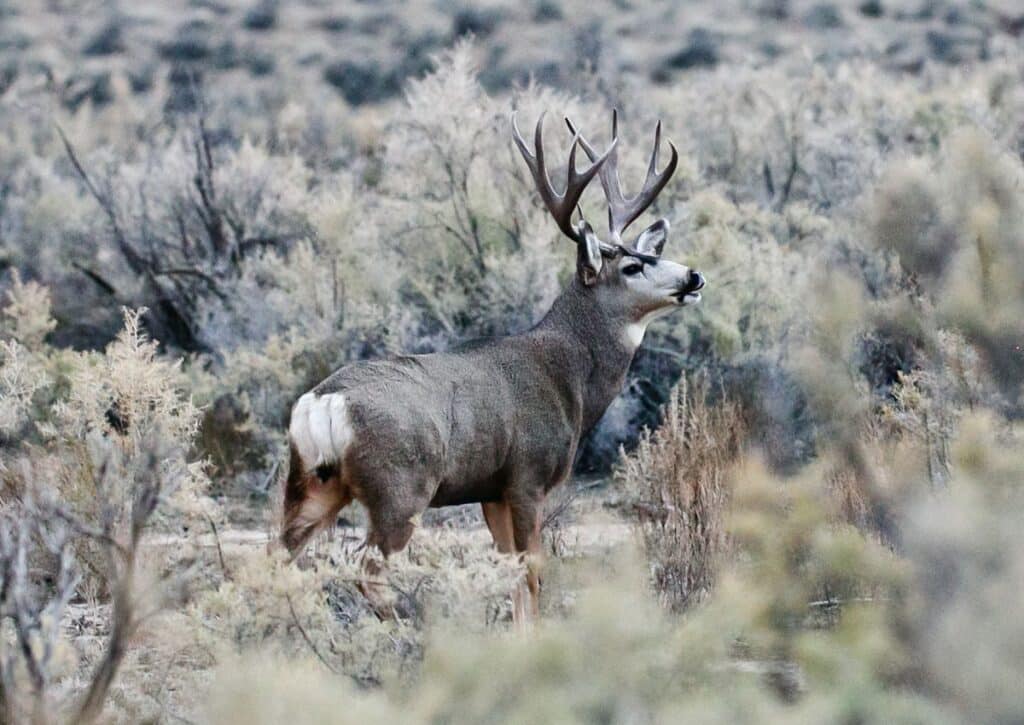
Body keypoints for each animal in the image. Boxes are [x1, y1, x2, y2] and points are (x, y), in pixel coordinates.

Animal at [284, 110, 708, 618]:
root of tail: (323, 402)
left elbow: (510, 575)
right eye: (631, 267)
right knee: (367, 568)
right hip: (400, 488)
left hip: (311, 483)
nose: (694, 276)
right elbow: (532, 574)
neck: (568, 377)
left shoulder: (491, 491)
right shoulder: (527, 477)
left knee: (275, 557)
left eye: (652, 254)